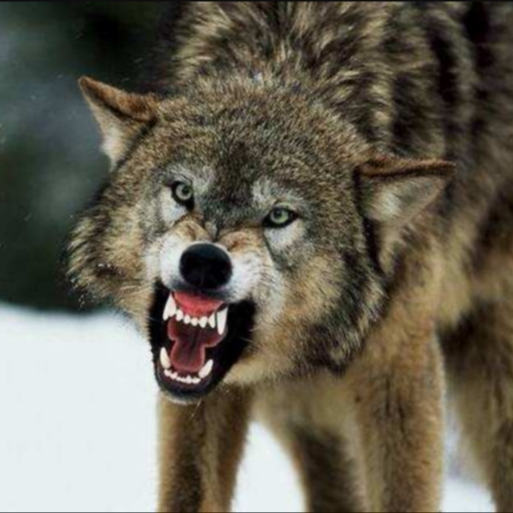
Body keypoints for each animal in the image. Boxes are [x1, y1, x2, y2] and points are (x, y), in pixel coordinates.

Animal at [68, 2, 513, 512]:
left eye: (279, 216)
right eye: (183, 192)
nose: (205, 261)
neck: (289, 53)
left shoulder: (398, 364)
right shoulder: (206, 391)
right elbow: (189, 491)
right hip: (297, 407)